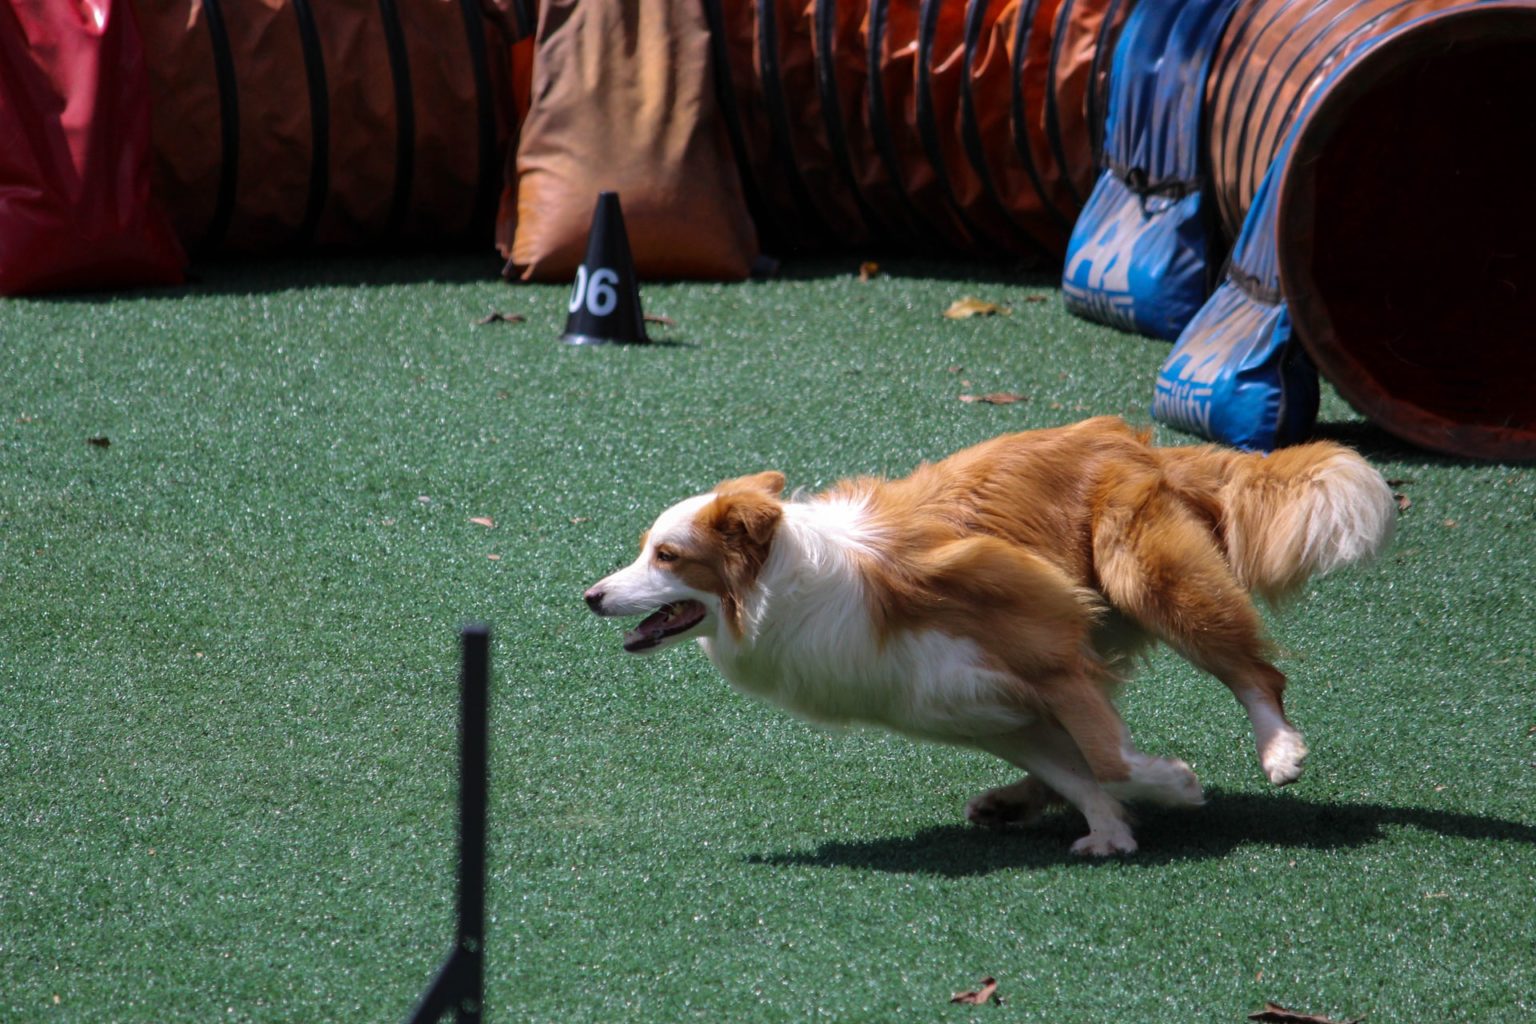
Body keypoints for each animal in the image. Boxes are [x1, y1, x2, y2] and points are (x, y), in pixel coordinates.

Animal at [580, 417, 1400, 859]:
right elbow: (1081, 769)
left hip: (1145, 577)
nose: (590, 596)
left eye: (667, 556)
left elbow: (1107, 758)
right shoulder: (968, 703)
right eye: (645, 548)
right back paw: (1012, 805)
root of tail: (1136, 440)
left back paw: (1279, 750)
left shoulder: (1049, 650)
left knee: (1258, 674)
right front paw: (1113, 830)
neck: (789, 586)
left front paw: (1174, 785)